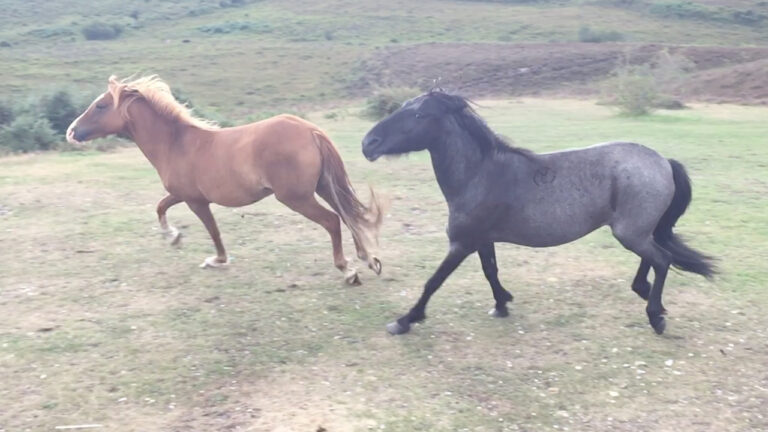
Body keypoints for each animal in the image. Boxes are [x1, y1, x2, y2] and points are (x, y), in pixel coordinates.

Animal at [67, 75, 383, 285]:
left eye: (100, 106)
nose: (71, 131)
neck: (175, 143)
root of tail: (310, 131)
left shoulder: (196, 201)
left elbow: (213, 231)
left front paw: (215, 260)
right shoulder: (182, 195)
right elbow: (160, 206)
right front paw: (173, 237)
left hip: (296, 197)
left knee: (333, 221)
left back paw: (348, 270)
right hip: (324, 186)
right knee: (348, 217)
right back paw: (369, 260)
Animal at [362, 90, 715, 335]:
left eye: (419, 115)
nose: (368, 143)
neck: (479, 175)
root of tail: (663, 161)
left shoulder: (461, 244)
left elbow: (433, 282)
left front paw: (405, 320)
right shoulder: (482, 240)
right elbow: (491, 271)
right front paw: (502, 304)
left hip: (629, 232)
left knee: (662, 260)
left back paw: (655, 315)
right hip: (637, 231)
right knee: (653, 258)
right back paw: (645, 294)